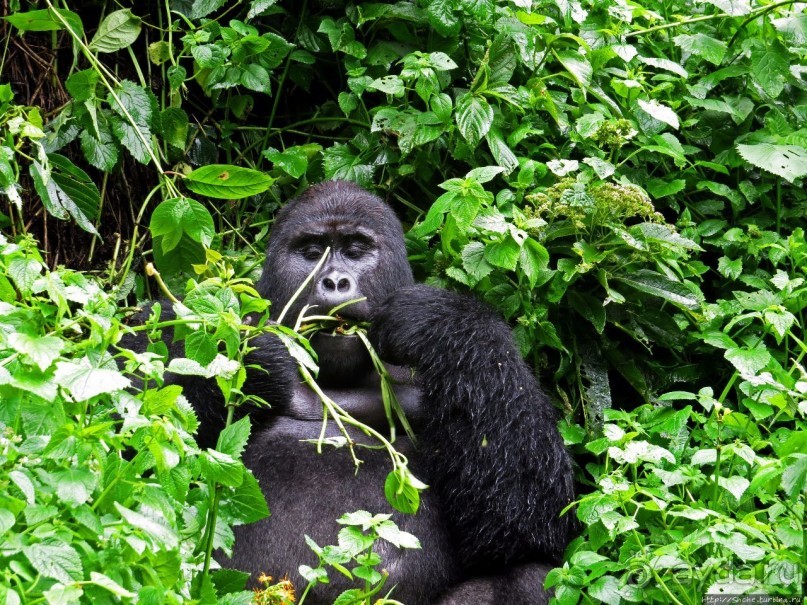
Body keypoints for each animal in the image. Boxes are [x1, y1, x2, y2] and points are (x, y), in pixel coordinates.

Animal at [136, 179, 576, 604]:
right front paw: (257, 358)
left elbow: (522, 526)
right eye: (312, 252)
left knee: (530, 576)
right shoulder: (171, 321)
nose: (334, 281)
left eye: (355, 250)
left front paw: (441, 324)